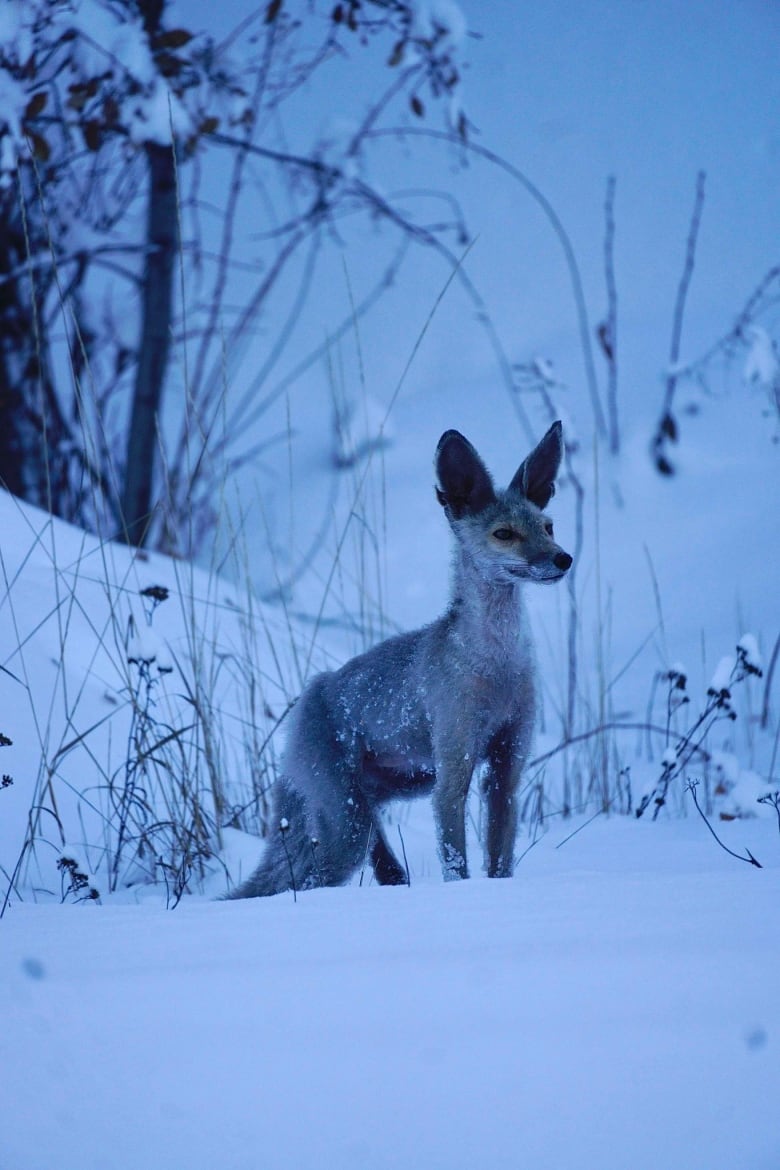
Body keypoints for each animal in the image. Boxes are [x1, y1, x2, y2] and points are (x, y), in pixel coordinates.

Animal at [225, 425, 573, 898]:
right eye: (505, 534)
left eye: (548, 527)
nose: (563, 558)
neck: (496, 669)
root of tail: (309, 695)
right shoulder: (452, 774)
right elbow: (457, 865)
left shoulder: (507, 771)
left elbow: (500, 865)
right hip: (347, 831)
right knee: (303, 883)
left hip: (386, 803)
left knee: (385, 871)